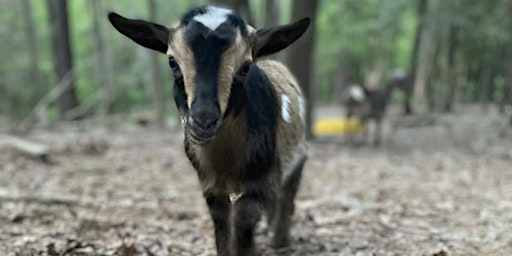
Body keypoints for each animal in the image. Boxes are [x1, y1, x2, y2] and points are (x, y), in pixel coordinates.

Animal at [107, 5, 308, 255]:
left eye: (245, 67)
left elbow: (243, 218)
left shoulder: (265, 181)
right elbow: (222, 223)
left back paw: (281, 240)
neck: (225, 161)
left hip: (298, 156)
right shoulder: (210, 186)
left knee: (287, 196)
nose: (203, 121)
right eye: (172, 62)